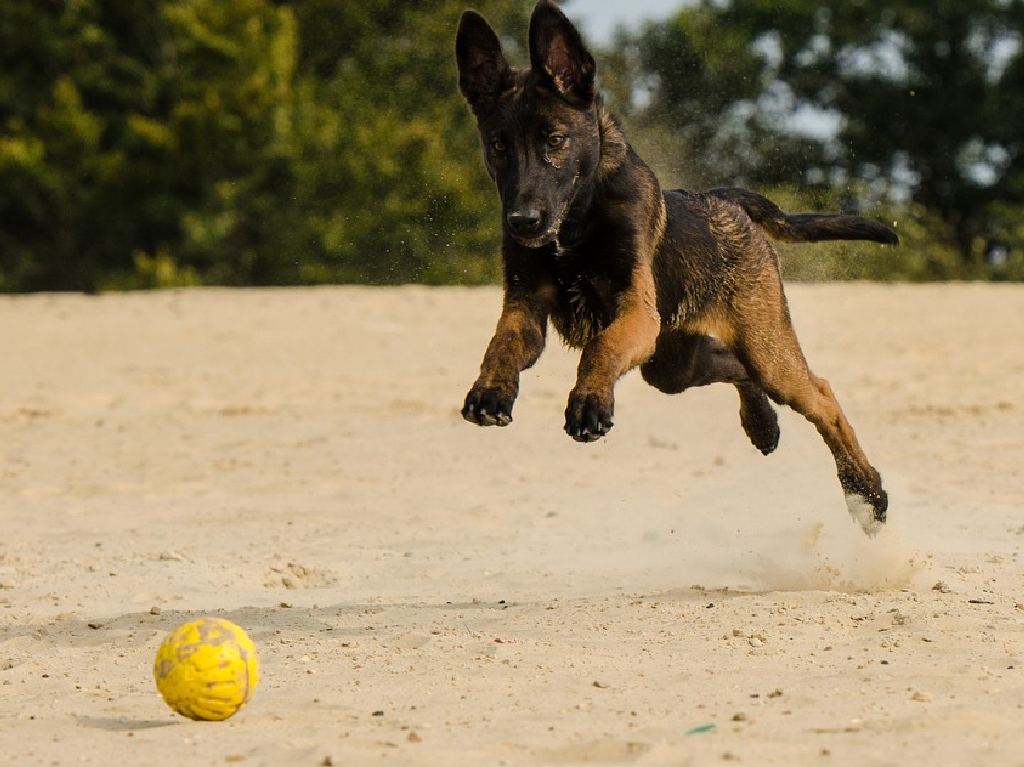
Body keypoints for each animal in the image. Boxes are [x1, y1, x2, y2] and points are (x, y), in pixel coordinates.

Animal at [456, 0, 897, 532]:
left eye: (556, 140)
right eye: (499, 146)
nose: (523, 222)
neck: (575, 227)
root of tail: (724, 200)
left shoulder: (635, 313)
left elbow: (600, 349)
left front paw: (589, 402)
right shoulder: (524, 307)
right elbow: (500, 346)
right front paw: (490, 392)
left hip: (760, 350)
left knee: (822, 396)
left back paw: (867, 493)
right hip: (672, 364)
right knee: (735, 366)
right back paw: (763, 424)